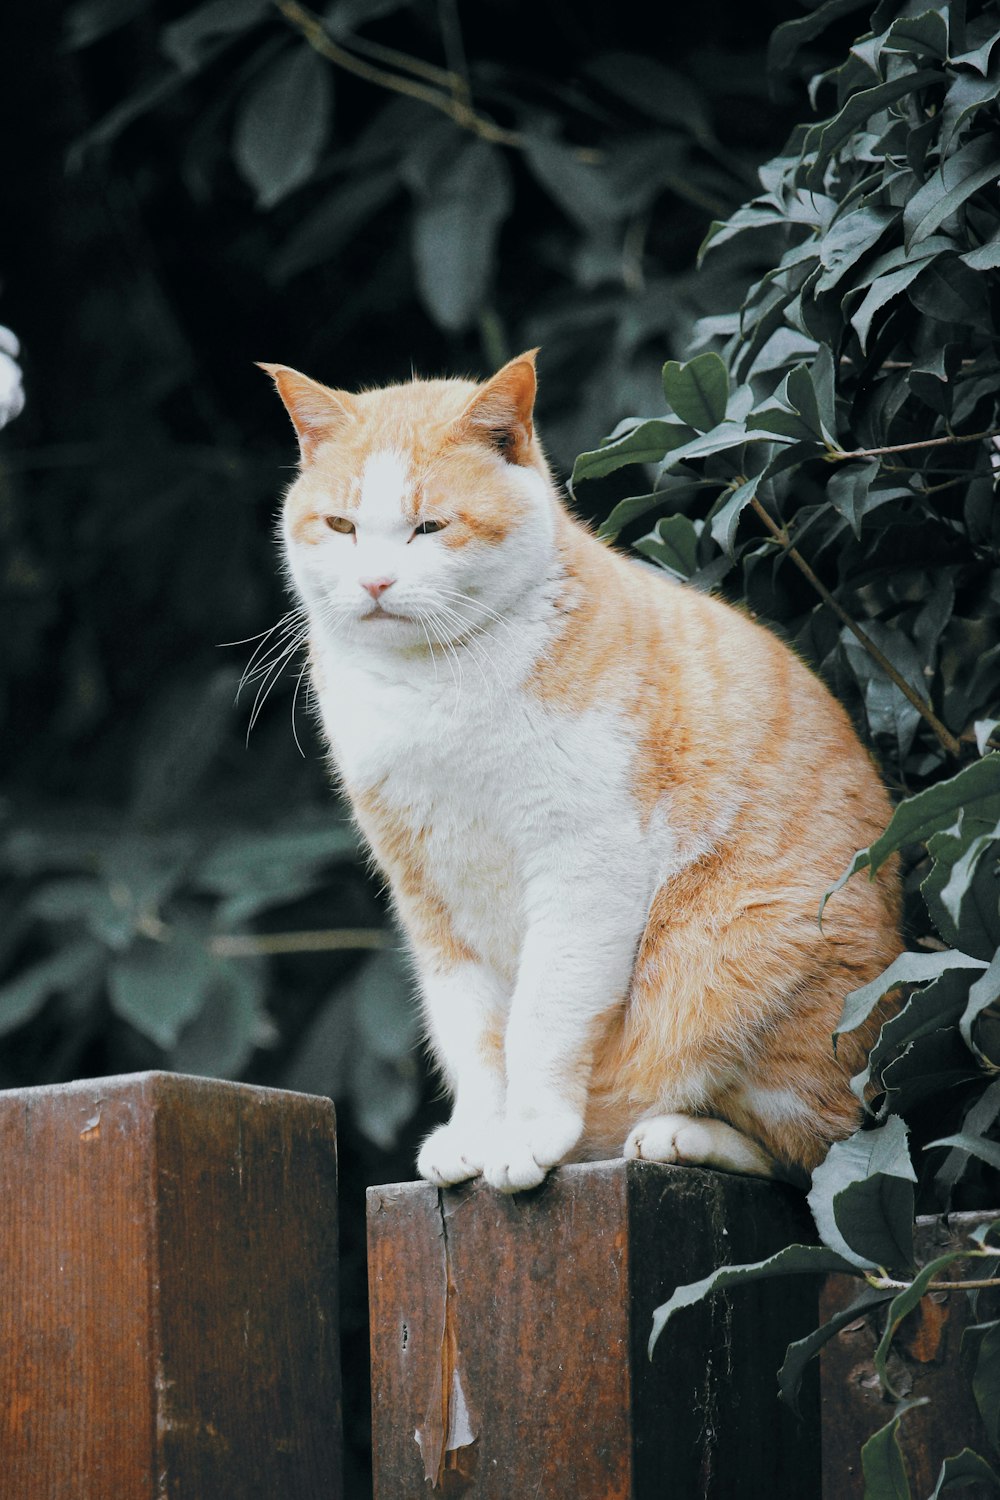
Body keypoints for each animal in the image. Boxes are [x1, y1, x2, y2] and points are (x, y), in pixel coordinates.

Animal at [262, 351, 905, 1194]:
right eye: (341, 527)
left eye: (429, 528)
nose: (373, 584)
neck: (428, 689)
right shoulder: (429, 897)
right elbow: (471, 1032)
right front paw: (479, 1132)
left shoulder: (584, 866)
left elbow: (538, 1019)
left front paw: (529, 1133)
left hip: (742, 957)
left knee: (815, 1154)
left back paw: (674, 1135)